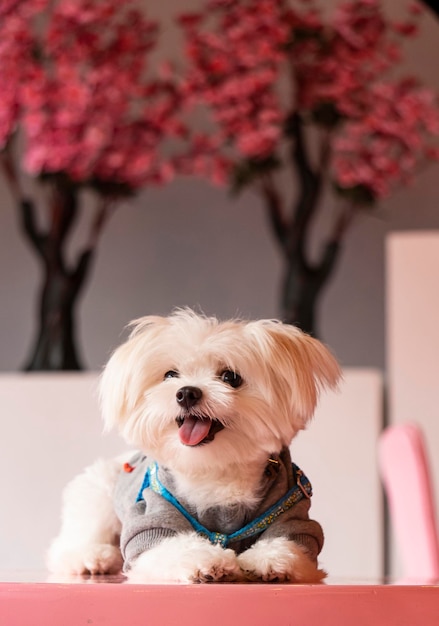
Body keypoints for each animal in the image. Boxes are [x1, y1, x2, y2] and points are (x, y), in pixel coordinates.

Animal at [49, 310, 344, 584]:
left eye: (230, 377)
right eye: (170, 375)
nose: (186, 392)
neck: (212, 469)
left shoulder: (292, 511)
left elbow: (290, 541)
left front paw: (270, 559)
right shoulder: (152, 517)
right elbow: (172, 544)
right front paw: (205, 560)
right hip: (98, 495)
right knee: (70, 542)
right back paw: (92, 557)